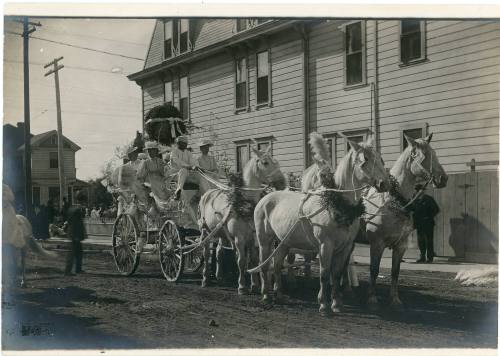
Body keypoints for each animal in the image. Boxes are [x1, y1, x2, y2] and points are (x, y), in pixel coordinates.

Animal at [197, 147, 288, 294]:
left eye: (276, 162)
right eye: (265, 162)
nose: (282, 183)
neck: (246, 202)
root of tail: (207, 194)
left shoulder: (252, 237)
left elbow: (253, 261)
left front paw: (254, 285)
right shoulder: (239, 238)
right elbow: (241, 261)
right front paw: (241, 286)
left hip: (221, 233)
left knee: (219, 252)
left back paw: (219, 277)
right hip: (205, 231)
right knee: (206, 253)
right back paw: (205, 279)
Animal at [252, 136, 388, 314]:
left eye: (380, 158)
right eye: (364, 160)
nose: (384, 183)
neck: (338, 205)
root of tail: (265, 197)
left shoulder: (345, 247)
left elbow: (336, 274)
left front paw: (336, 304)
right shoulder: (325, 245)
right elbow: (324, 274)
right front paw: (323, 305)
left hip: (283, 243)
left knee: (277, 265)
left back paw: (280, 295)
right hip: (264, 241)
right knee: (264, 265)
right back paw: (266, 295)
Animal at [358, 134, 448, 308]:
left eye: (434, 153)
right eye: (425, 156)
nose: (443, 179)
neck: (392, 200)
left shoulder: (401, 245)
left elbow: (395, 272)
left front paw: (395, 299)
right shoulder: (377, 244)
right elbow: (374, 269)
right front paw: (372, 298)